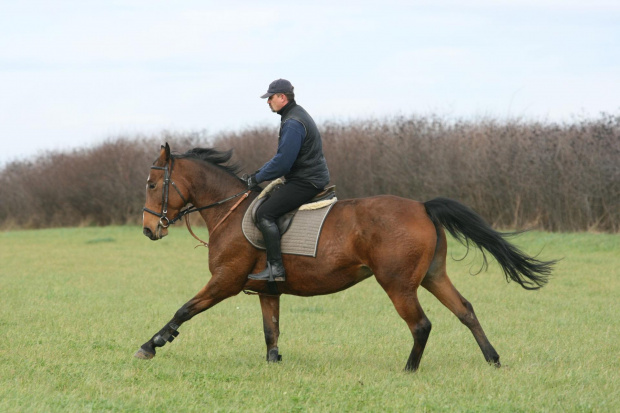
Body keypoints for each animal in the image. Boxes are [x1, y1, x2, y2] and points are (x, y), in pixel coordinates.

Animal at [134, 143, 552, 372]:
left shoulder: (225, 281)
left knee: (421, 325)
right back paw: (493, 359)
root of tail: (421, 206)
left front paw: (152, 343)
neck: (231, 211)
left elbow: (185, 309)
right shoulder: (267, 291)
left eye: (152, 184)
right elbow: (271, 331)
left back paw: (409, 369)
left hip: (398, 284)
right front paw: (274, 363)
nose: (149, 230)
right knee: (465, 310)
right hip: (433, 277)